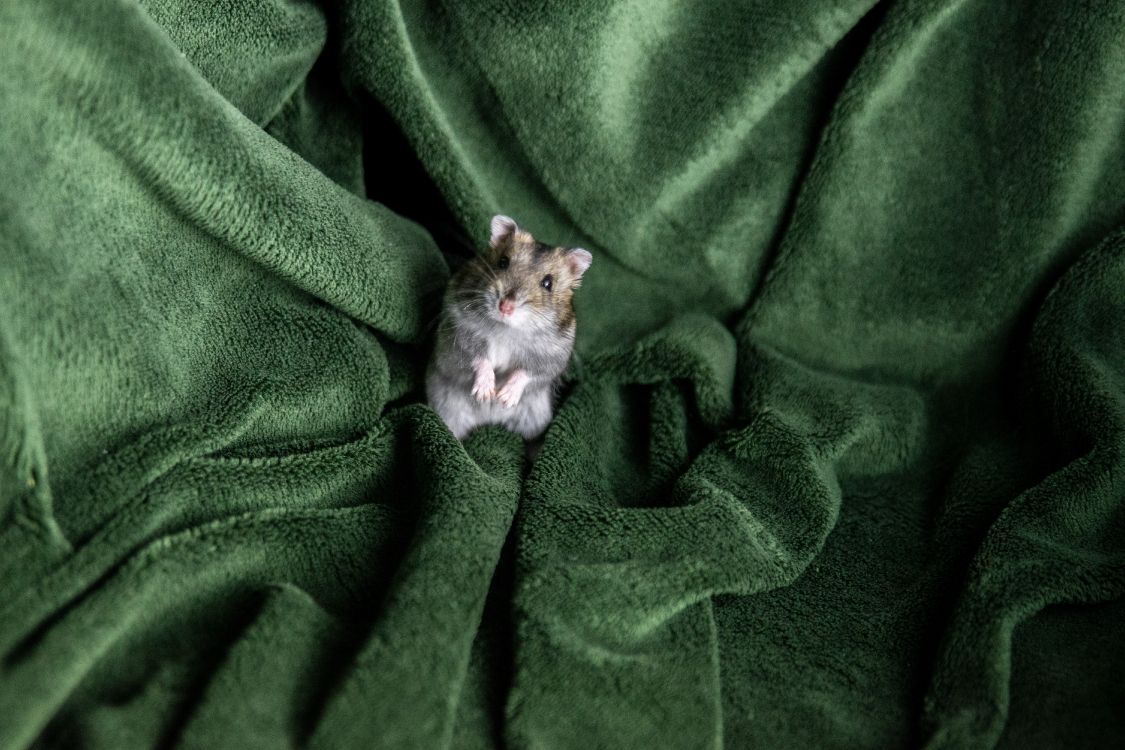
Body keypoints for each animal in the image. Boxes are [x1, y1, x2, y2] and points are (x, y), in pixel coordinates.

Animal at [425, 215, 594, 440]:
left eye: (548, 283)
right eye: (503, 262)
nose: (505, 307)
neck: (506, 330)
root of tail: (489, 421)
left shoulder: (552, 357)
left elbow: (527, 372)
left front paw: (504, 397)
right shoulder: (458, 335)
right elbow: (478, 358)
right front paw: (486, 394)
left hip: (536, 419)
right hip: (448, 410)